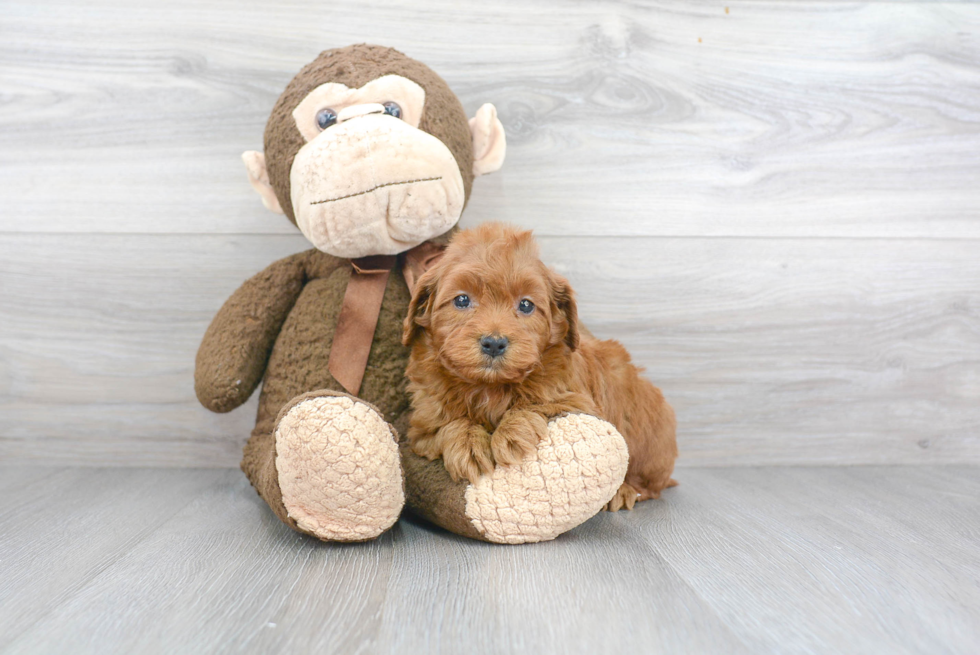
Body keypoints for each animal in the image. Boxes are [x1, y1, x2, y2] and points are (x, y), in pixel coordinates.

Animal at [398, 223, 672, 510]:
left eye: (526, 304)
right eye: (462, 300)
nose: (494, 343)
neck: (489, 387)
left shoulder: (577, 401)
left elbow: (536, 403)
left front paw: (511, 434)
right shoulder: (423, 427)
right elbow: (450, 423)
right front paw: (468, 445)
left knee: (650, 483)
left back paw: (624, 491)